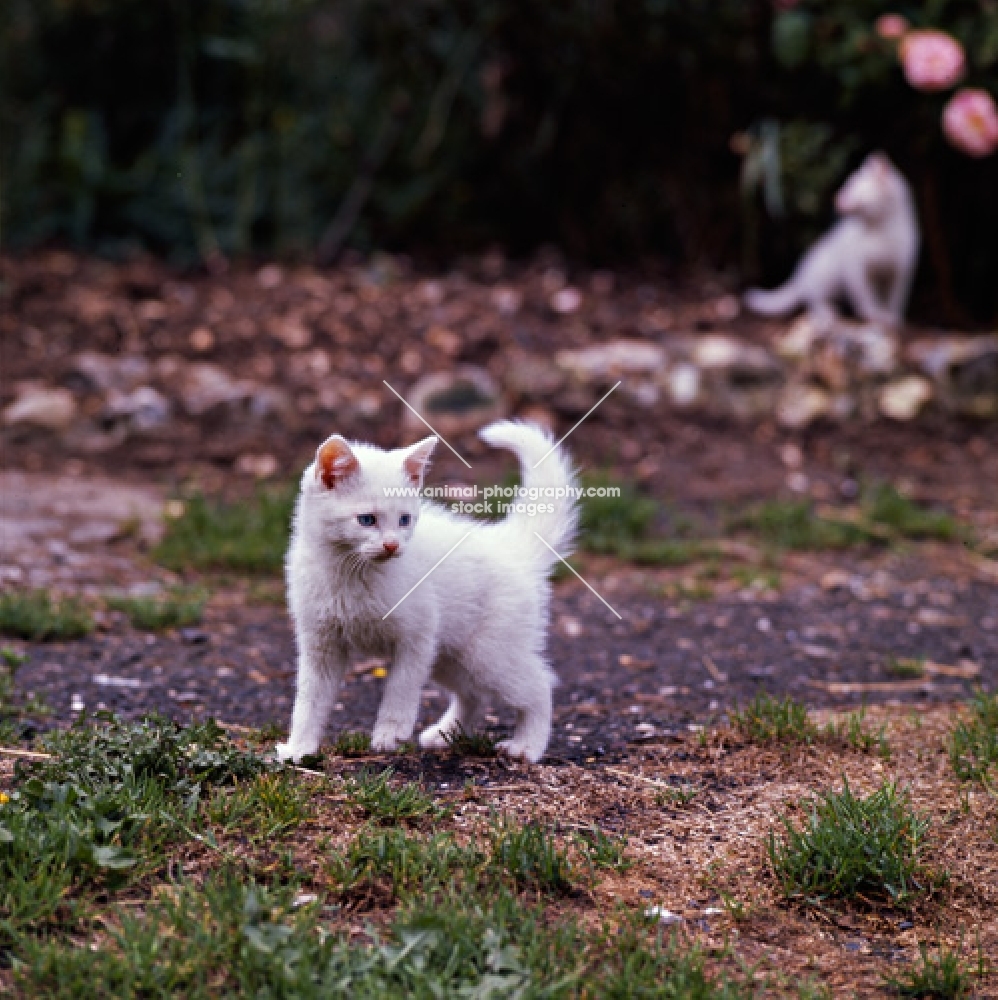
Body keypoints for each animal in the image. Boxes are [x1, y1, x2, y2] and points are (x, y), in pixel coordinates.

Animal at [278, 422, 584, 764]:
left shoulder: (418, 636)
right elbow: (309, 701)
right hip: (452, 655)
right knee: (473, 694)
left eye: (405, 519)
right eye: (367, 520)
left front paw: (390, 732)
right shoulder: (321, 645)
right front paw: (299, 749)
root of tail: (508, 542)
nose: (392, 545)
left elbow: (401, 687)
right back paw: (445, 734)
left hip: (488, 653)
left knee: (540, 685)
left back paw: (527, 746)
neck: (350, 573)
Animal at [744, 153, 920, 328]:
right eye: (846, 184)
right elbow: (866, 296)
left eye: (851, 185)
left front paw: (892, 317)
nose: (837, 198)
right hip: (825, 277)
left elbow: (895, 298)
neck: (881, 232)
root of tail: (801, 275)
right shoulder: (855, 267)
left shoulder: (902, 269)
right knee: (814, 299)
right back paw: (828, 312)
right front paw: (874, 314)